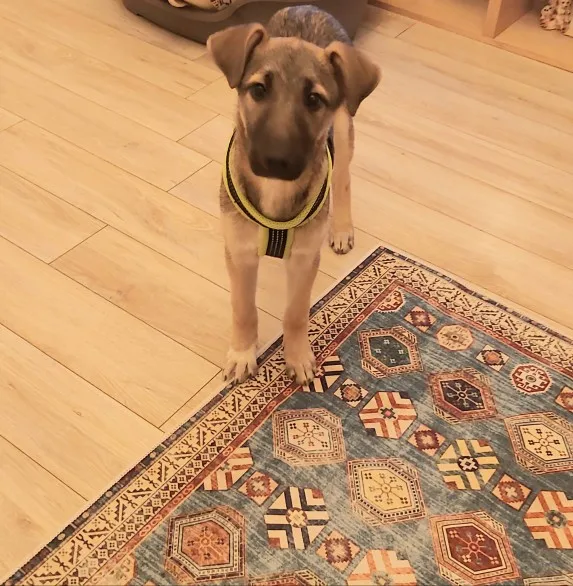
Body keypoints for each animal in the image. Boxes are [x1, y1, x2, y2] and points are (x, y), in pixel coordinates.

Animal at [207, 5, 380, 385]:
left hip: (343, 131)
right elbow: (243, 307)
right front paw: (243, 353)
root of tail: (309, 7)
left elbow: (296, 312)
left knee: (343, 179)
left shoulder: (303, 259)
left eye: (313, 100)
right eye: (258, 90)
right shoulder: (240, 253)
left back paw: (341, 228)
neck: (276, 192)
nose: (276, 161)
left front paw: (298, 357)